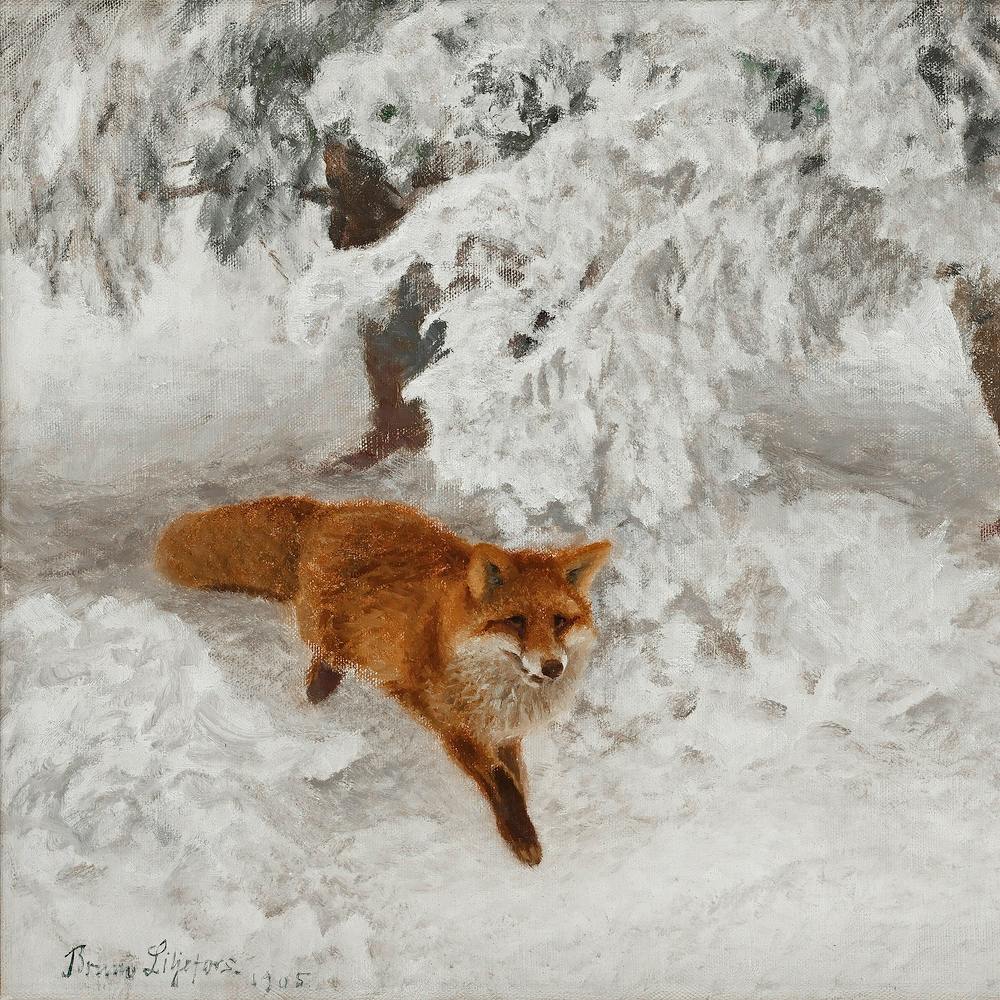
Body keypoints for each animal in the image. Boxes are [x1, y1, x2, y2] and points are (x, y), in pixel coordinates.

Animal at [155, 497, 611, 866]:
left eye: (560, 621)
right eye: (516, 621)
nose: (553, 667)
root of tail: (328, 511)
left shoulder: (503, 733)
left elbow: (517, 781)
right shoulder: (455, 729)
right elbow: (502, 784)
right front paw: (521, 839)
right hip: (330, 633)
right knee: (324, 661)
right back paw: (318, 695)